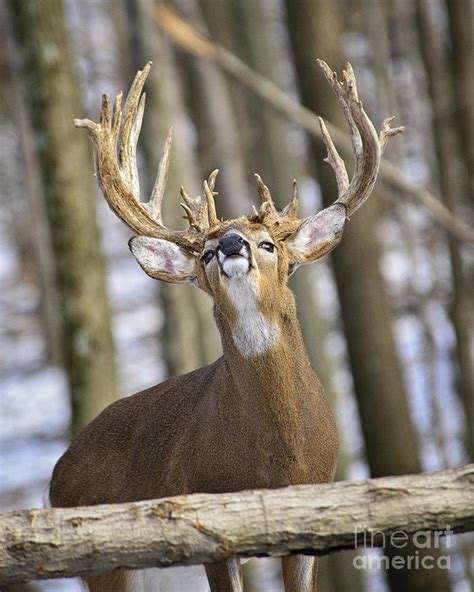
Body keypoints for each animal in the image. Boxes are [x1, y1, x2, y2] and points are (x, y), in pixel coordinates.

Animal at [50, 60, 402, 592]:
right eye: (207, 252)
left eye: (269, 243)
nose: (233, 243)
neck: (277, 458)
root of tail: (55, 477)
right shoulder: (207, 518)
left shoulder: (314, 505)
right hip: (106, 562)